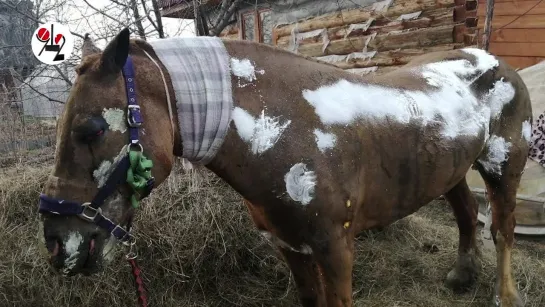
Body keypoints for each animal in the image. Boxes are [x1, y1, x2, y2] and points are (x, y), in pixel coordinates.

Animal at [38, 27, 532, 306]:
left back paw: (505, 296)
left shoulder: (336, 250)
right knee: (466, 215)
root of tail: (494, 62)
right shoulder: (290, 247)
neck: (287, 129)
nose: (58, 245)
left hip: (503, 168)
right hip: (452, 169)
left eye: (90, 129)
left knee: (502, 230)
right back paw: (463, 276)